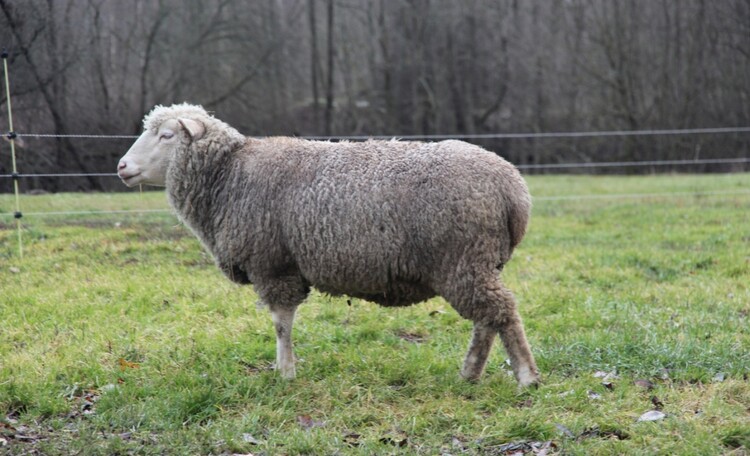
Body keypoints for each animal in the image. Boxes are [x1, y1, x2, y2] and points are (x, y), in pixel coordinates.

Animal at [117, 105, 540, 386]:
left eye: (166, 136)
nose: (121, 167)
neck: (228, 175)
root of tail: (514, 188)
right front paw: (285, 369)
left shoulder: (273, 265)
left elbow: (281, 324)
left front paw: (286, 373)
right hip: (479, 260)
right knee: (488, 317)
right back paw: (470, 372)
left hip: (463, 257)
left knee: (500, 311)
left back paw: (526, 377)